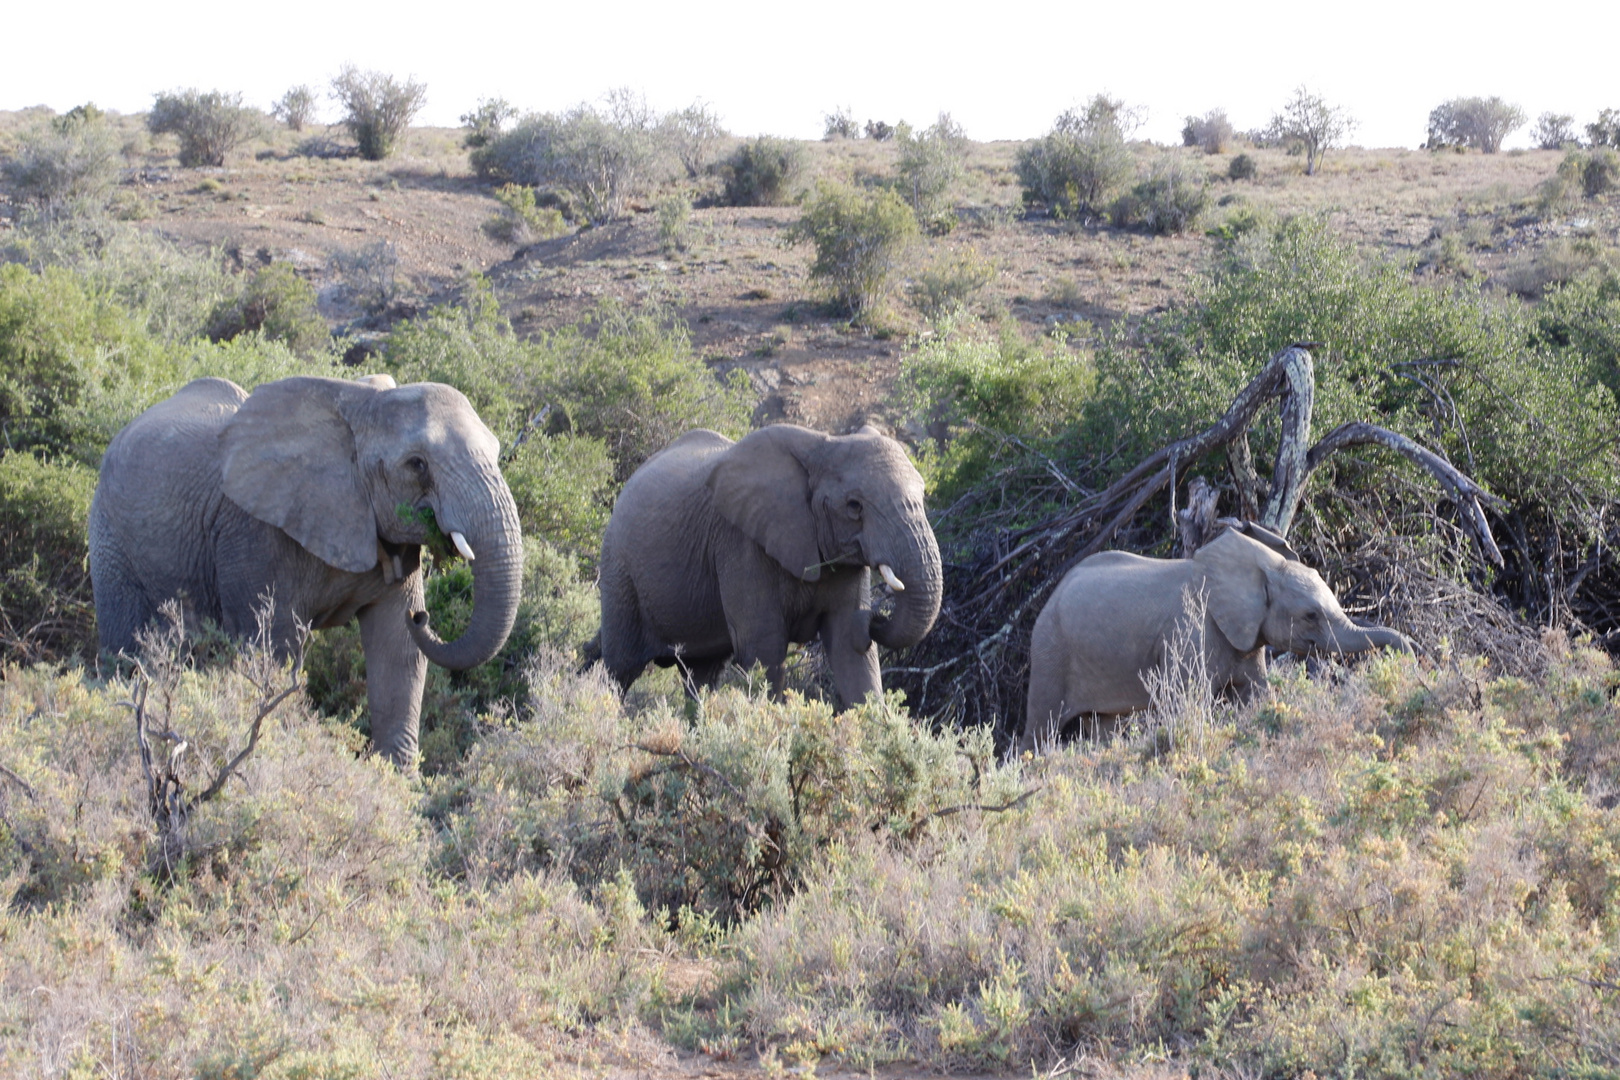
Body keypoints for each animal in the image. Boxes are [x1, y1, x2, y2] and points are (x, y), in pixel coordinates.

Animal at [88, 375, 521, 764]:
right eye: (417, 465)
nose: (424, 616)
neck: (359, 403)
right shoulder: (255, 531)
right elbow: (273, 647)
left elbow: (397, 649)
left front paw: (398, 783)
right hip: (111, 539)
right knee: (126, 645)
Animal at [592, 420, 946, 709]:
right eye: (854, 506)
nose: (874, 617)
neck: (825, 444)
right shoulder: (738, 542)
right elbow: (763, 646)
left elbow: (849, 646)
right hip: (619, 569)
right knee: (620, 667)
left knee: (701, 676)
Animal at [1017, 524, 1412, 751]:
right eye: (1310, 615)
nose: (1412, 654)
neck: (1259, 568)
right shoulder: (1189, 633)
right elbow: (1191, 702)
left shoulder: (1247, 635)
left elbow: (1256, 696)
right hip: (1051, 649)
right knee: (1041, 728)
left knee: (1102, 726)